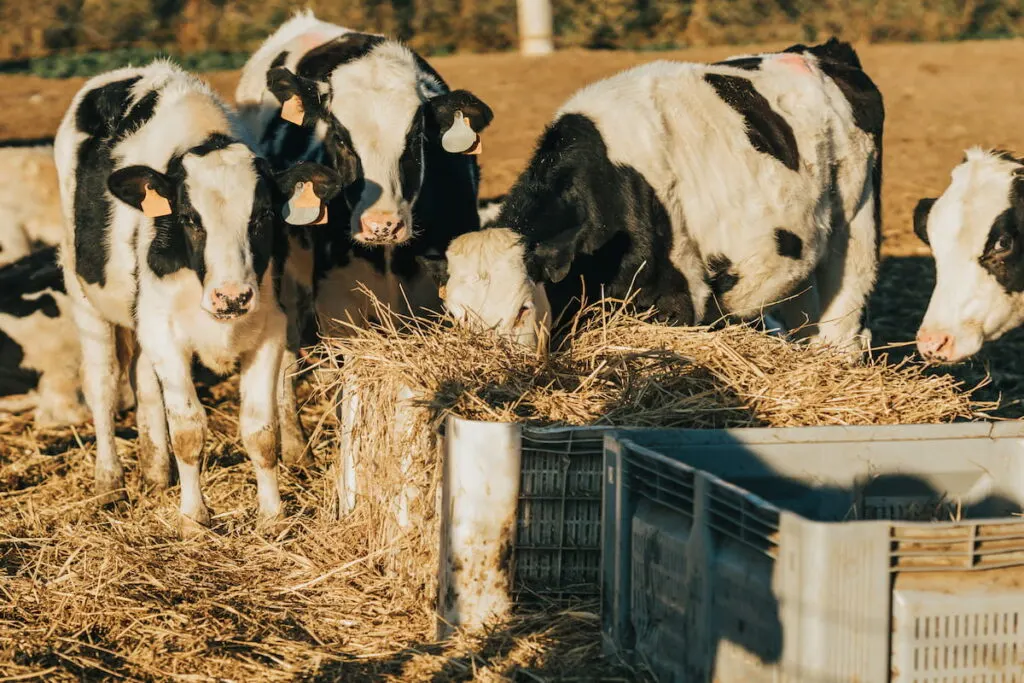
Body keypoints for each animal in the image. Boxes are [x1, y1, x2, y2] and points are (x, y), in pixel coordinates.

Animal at [55, 60, 344, 528]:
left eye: (264, 215)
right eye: (190, 218)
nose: (232, 297)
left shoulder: (269, 331)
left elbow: (260, 431)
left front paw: (272, 513)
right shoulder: (165, 333)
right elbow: (189, 430)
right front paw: (194, 517)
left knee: (143, 379)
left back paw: (155, 469)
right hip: (83, 295)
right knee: (102, 384)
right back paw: (109, 480)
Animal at [239, 12, 495, 464]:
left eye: (415, 138)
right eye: (340, 137)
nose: (381, 224)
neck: (389, 255)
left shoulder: (428, 303)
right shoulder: (340, 310)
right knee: (287, 353)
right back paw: (296, 446)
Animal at [419, 39, 884, 356]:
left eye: (521, 309)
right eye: (456, 317)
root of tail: (819, 52)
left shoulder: (677, 300)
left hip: (855, 222)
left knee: (844, 329)